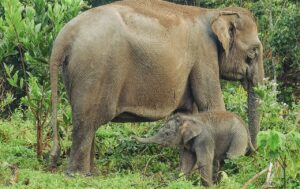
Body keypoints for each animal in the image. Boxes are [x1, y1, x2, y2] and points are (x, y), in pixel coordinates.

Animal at [49, 0, 264, 175]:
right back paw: (77, 175)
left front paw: (185, 174)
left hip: (75, 72)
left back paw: (91, 174)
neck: (215, 13)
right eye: (253, 51)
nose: (252, 154)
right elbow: (212, 105)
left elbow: (190, 113)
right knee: (87, 121)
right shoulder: (204, 54)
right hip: (94, 70)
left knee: (89, 121)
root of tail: (64, 35)